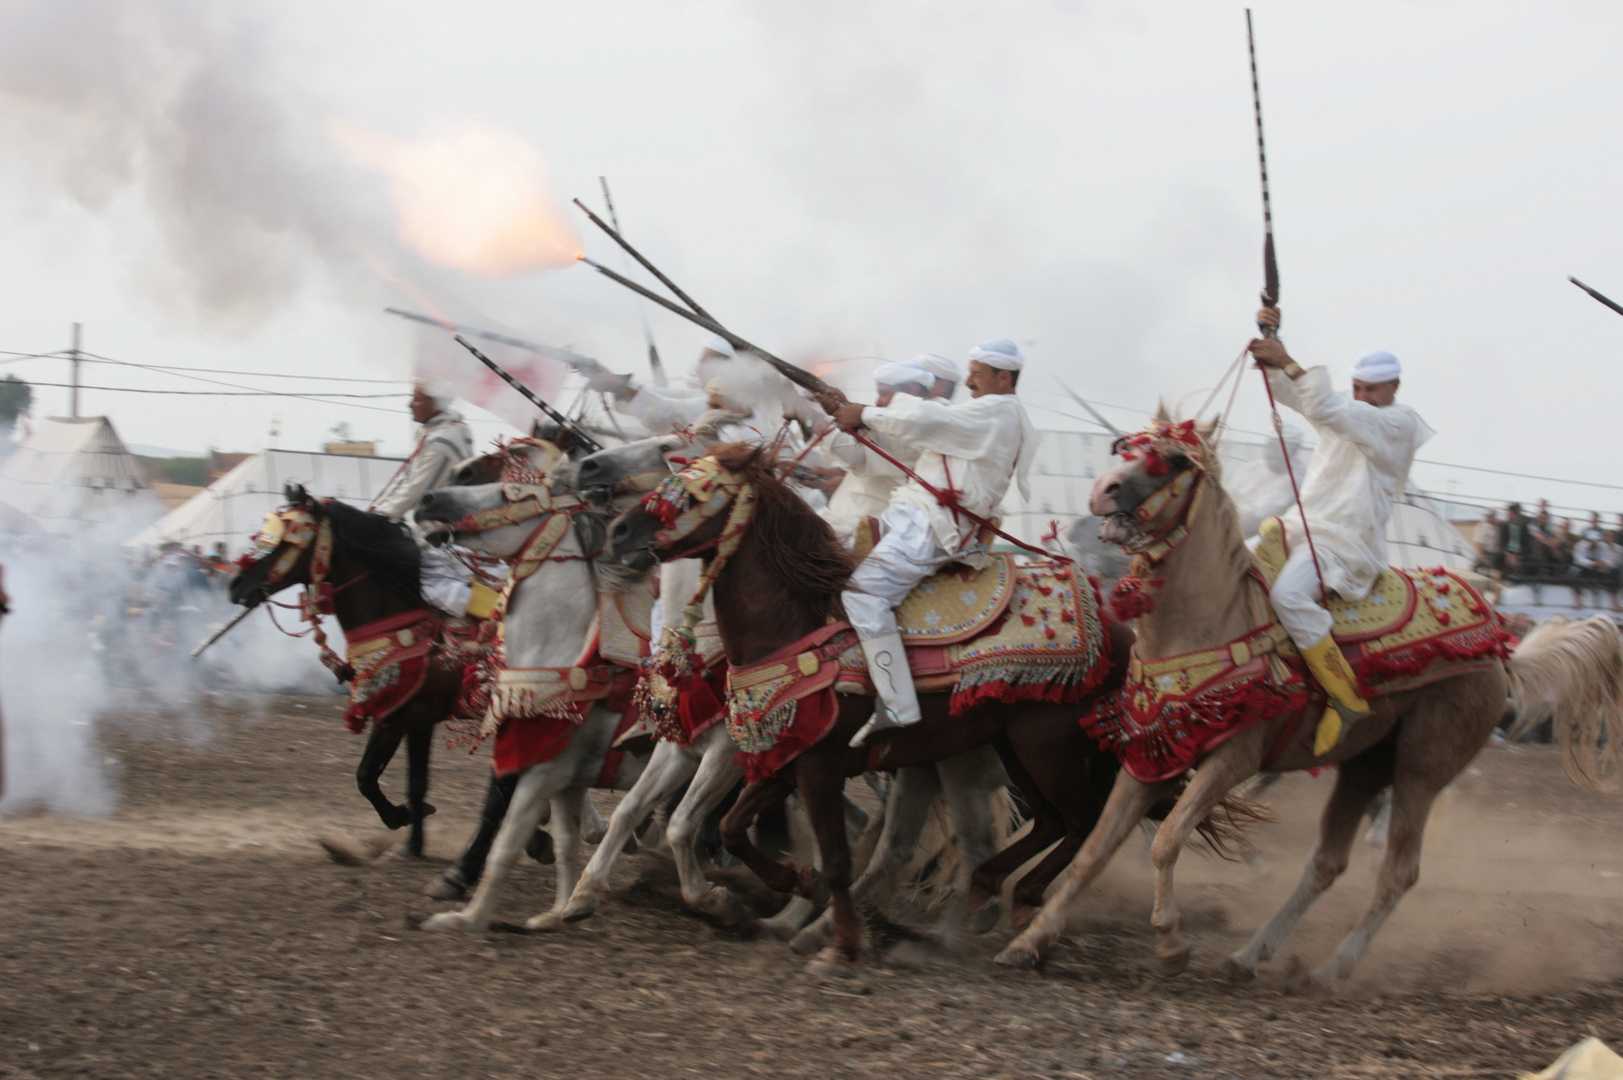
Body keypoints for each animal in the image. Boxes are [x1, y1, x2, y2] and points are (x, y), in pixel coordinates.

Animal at [607, 441, 1155, 974]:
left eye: (697, 492)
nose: (618, 530)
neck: (795, 629)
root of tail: (1119, 632)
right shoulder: (784, 759)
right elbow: (733, 827)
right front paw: (794, 884)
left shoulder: (817, 767)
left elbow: (834, 857)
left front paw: (840, 947)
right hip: (1014, 750)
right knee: (1047, 822)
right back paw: (988, 894)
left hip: (1047, 750)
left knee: (1081, 821)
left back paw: (1013, 918)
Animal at [986, 414, 1623, 987]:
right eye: (1124, 447)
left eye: (1171, 459)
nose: (1102, 490)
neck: (1210, 624)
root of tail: (1500, 646)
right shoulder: (1150, 759)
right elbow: (1095, 850)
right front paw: (1029, 943)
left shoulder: (1231, 759)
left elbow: (1167, 841)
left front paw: (1169, 942)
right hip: (1364, 766)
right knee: (1326, 863)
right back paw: (1248, 957)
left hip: (1422, 767)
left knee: (1398, 872)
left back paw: (1331, 969)